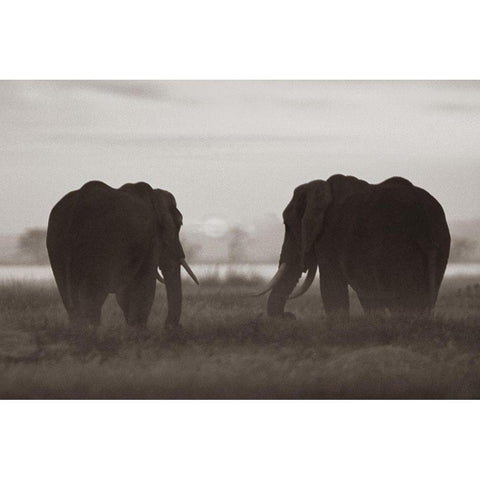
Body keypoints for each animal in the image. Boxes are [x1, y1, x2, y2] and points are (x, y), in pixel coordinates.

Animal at [46, 181, 199, 334]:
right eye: (179, 224)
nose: (174, 327)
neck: (155, 194)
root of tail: (76, 209)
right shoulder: (151, 238)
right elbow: (145, 281)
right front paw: (142, 331)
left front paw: (134, 328)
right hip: (98, 246)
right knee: (93, 295)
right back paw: (92, 330)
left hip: (56, 243)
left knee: (70, 295)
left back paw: (80, 329)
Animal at [258, 173, 450, 322]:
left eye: (288, 226)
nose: (290, 316)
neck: (321, 187)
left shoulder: (328, 237)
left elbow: (332, 287)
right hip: (440, 246)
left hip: (399, 249)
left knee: (403, 301)